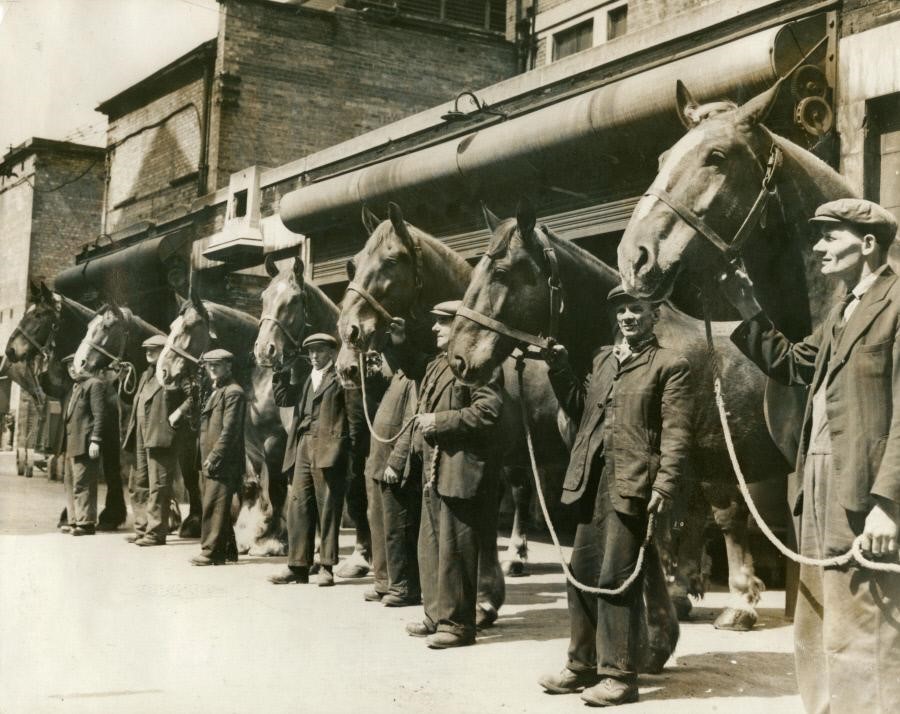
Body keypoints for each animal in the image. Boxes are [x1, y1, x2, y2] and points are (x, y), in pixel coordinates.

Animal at [155, 286, 288, 552]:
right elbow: (251, 485)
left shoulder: (275, 441)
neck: (260, 379)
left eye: (188, 327)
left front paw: (273, 539)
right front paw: (250, 534)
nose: (162, 371)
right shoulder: (248, 444)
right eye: (172, 326)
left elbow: (275, 488)